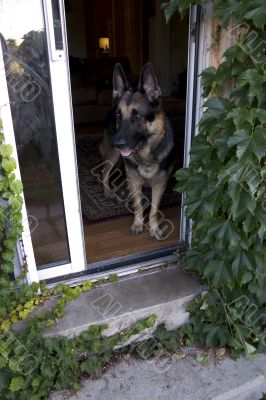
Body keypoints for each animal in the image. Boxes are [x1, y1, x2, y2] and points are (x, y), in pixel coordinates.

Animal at [100, 61, 175, 241]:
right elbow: (138, 206)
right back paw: (108, 192)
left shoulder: (160, 185)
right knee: (104, 171)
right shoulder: (135, 182)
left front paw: (154, 228)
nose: (117, 144)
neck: (145, 156)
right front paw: (138, 224)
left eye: (138, 116)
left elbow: (154, 210)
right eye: (119, 116)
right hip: (113, 156)